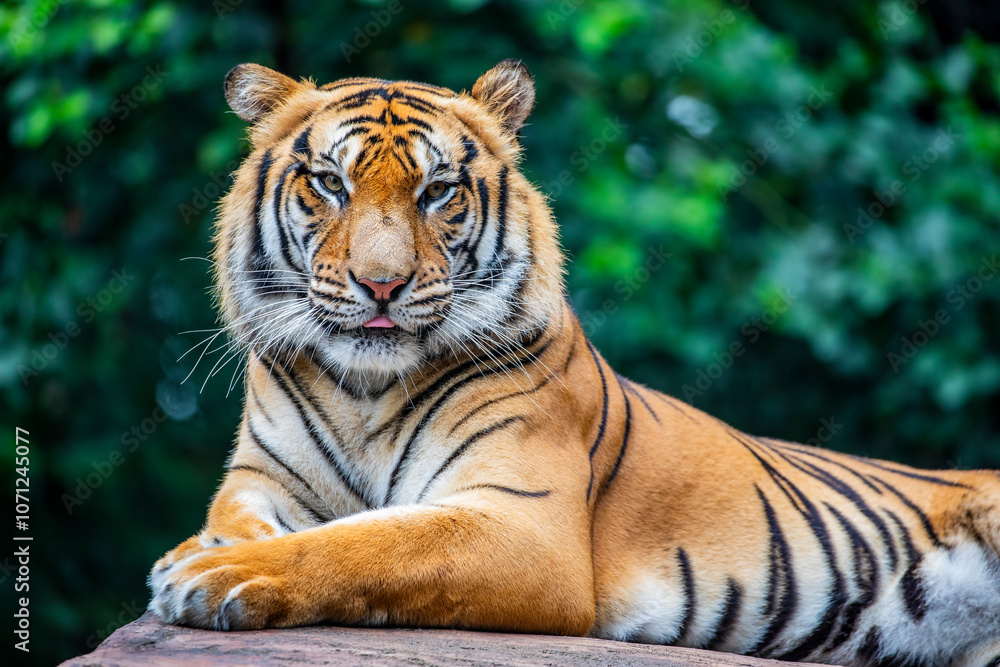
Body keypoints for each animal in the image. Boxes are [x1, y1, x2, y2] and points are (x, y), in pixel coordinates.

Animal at [148, 60, 1000, 666]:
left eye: (438, 191)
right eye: (330, 183)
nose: (381, 284)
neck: (364, 387)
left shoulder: (521, 520)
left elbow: (369, 540)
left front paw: (207, 576)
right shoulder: (260, 481)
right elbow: (252, 524)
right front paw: (200, 554)